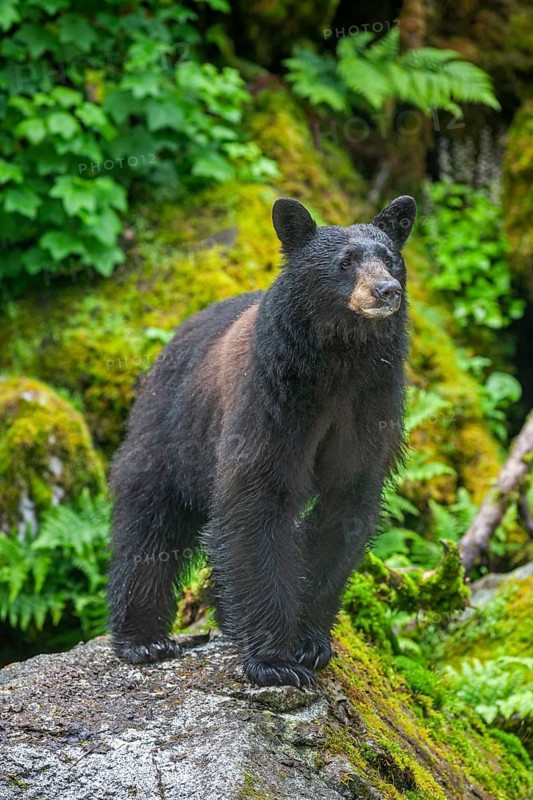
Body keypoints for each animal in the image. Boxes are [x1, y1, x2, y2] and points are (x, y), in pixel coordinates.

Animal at [108, 195, 416, 688]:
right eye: (345, 262)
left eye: (390, 259)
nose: (386, 290)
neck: (340, 361)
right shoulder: (274, 399)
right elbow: (255, 501)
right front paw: (275, 661)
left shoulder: (371, 404)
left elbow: (345, 506)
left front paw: (310, 642)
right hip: (172, 431)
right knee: (149, 523)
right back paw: (144, 640)